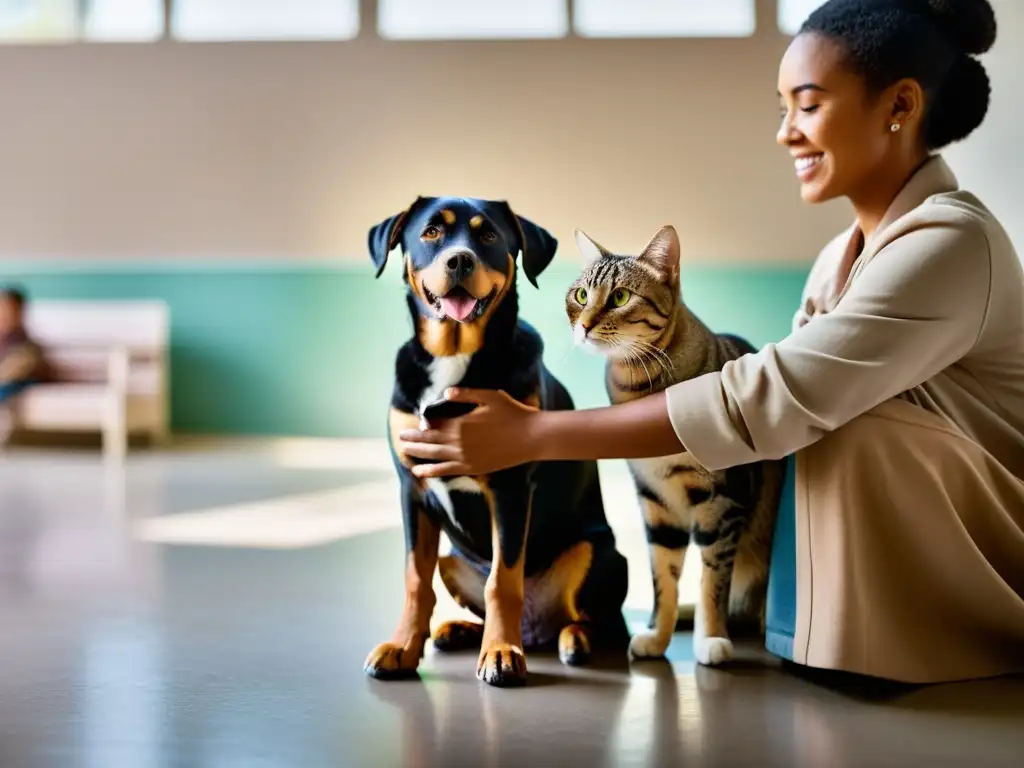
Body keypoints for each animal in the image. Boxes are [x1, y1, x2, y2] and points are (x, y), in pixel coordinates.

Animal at [364, 195, 626, 688]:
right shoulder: (411, 485)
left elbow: (503, 580)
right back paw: (459, 630)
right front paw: (403, 647)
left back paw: (569, 641)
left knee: (599, 622)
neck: (454, 356)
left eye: (487, 234)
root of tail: (537, 630)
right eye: (431, 232)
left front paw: (502, 654)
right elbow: (415, 580)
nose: (459, 260)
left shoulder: (510, 484)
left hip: (598, 552)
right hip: (451, 559)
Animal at [569, 224, 782, 667]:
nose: (583, 325)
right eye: (581, 295)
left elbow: (712, 582)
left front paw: (711, 637)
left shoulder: (724, 501)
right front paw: (656, 634)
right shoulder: (656, 504)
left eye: (619, 297)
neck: (638, 389)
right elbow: (662, 580)